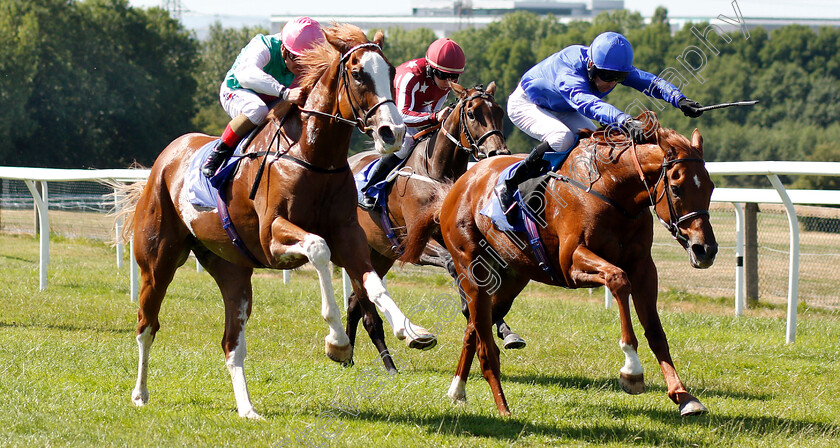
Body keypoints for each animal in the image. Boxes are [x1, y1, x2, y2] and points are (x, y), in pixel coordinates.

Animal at [116, 24, 434, 418]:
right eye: (358, 73)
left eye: (390, 72)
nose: (394, 133)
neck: (312, 156)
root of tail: (168, 156)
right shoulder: (272, 237)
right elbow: (318, 249)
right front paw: (337, 342)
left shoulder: (349, 234)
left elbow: (372, 284)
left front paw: (411, 330)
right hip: (157, 262)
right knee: (147, 325)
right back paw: (140, 393)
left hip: (233, 272)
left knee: (231, 344)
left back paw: (247, 408)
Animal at [344, 82, 508, 372]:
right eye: (473, 113)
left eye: (499, 112)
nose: (498, 153)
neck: (436, 172)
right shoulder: (414, 244)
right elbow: (453, 265)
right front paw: (468, 310)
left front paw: (503, 328)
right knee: (366, 311)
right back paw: (390, 363)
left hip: (381, 253)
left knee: (354, 303)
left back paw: (348, 356)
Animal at [404, 116, 720, 416]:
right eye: (676, 188)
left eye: (711, 186)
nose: (705, 249)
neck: (611, 189)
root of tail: (460, 184)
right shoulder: (572, 264)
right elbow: (618, 280)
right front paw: (632, 371)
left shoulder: (644, 267)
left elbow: (655, 331)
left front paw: (684, 397)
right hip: (471, 269)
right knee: (483, 339)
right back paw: (502, 406)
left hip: (511, 278)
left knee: (474, 326)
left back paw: (457, 389)